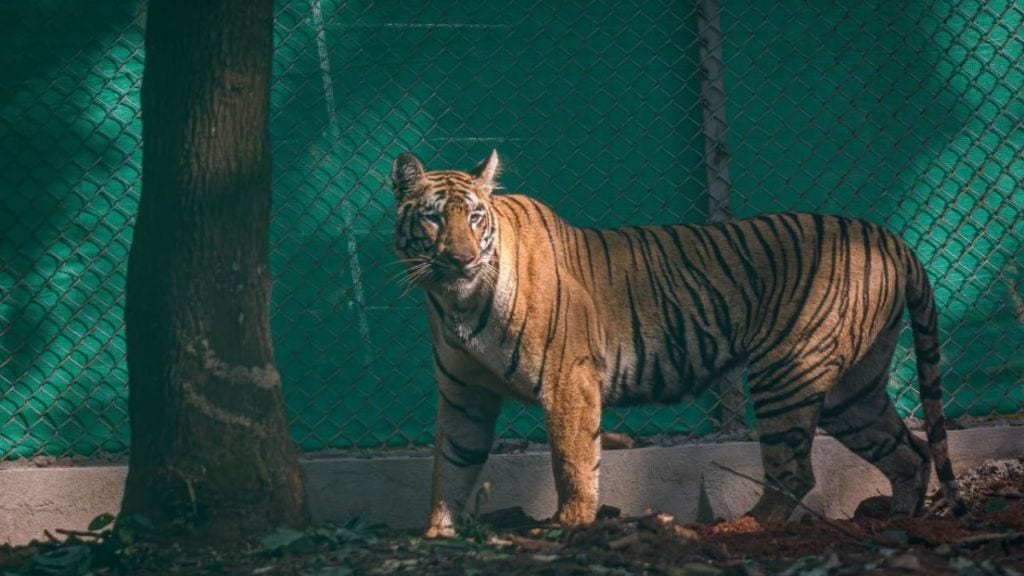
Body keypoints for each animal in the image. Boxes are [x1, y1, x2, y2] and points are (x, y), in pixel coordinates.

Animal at [387, 150, 962, 537]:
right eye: (433, 217)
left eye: (474, 217)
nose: (461, 259)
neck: (457, 301)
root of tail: (890, 236)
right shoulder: (464, 395)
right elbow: (451, 465)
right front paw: (437, 535)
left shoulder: (568, 380)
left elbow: (572, 462)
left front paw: (568, 525)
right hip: (852, 391)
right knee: (907, 452)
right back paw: (899, 521)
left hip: (788, 371)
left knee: (796, 471)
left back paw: (741, 528)